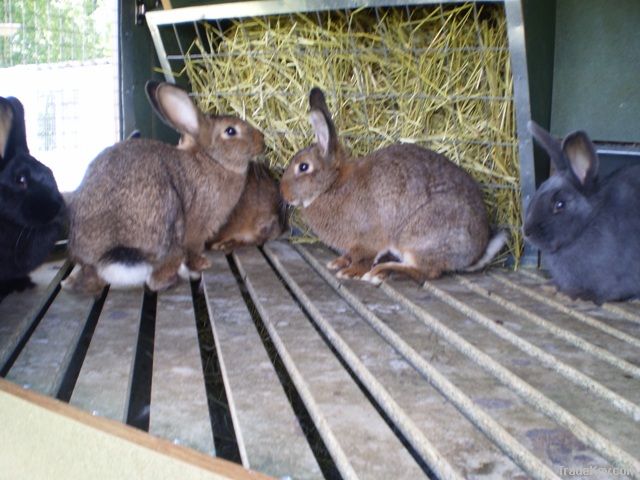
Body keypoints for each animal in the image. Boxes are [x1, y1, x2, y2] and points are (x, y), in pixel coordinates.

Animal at [280, 87, 504, 284]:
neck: (332, 185)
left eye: (303, 167)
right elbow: (350, 255)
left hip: (417, 238)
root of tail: (475, 254)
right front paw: (338, 262)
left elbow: (363, 258)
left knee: (425, 272)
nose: (284, 193)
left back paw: (382, 272)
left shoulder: (368, 240)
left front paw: (351, 272)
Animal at [524, 122, 640, 306]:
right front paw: (548, 286)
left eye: (560, 204)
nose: (526, 232)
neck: (587, 224)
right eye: (540, 188)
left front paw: (570, 295)